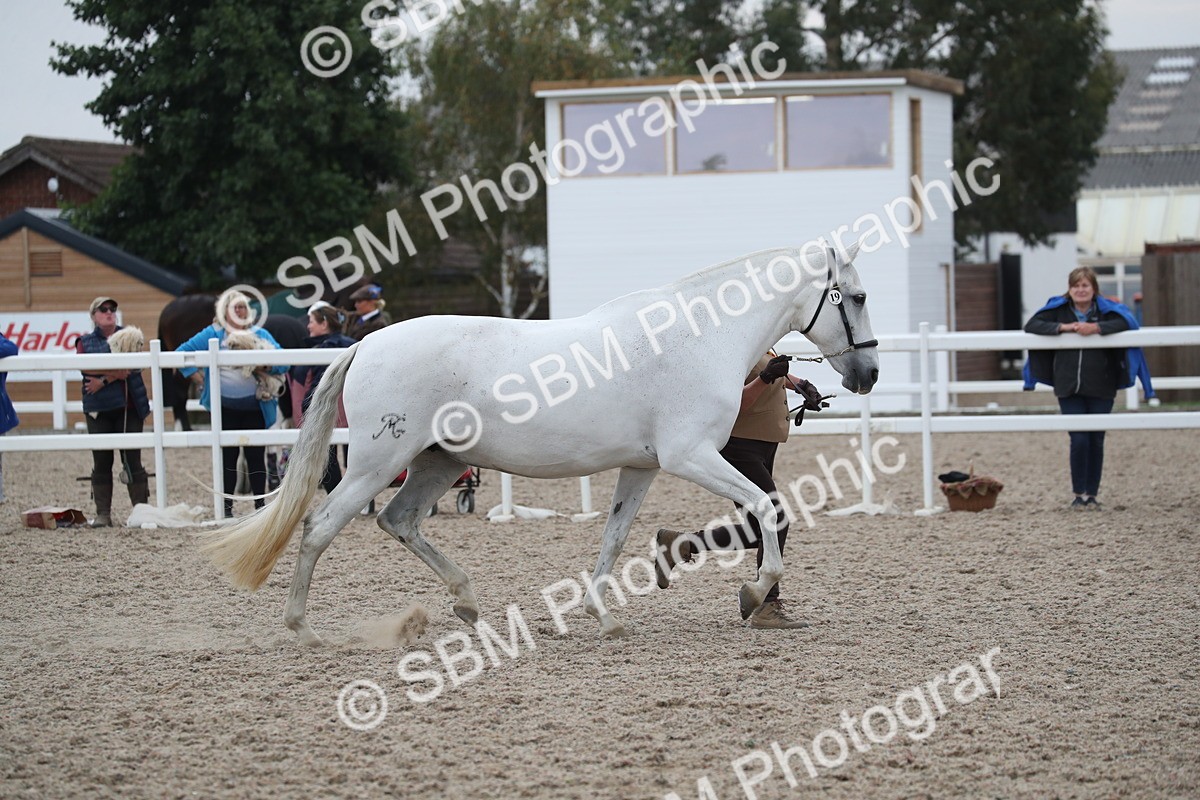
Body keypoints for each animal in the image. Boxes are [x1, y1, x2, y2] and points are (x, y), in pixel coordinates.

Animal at [200, 242, 879, 644]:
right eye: (859, 295)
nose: (868, 374)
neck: (697, 335)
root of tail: (366, 342)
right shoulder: (692, 457)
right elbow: (765, 506)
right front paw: (753, 591)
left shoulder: (643, 468)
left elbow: (614, 537)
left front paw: (604, 617)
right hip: (375, 462)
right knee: (321, 527)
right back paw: (302, 628)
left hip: (436, 464)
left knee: (399, 522)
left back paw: (468, 604)